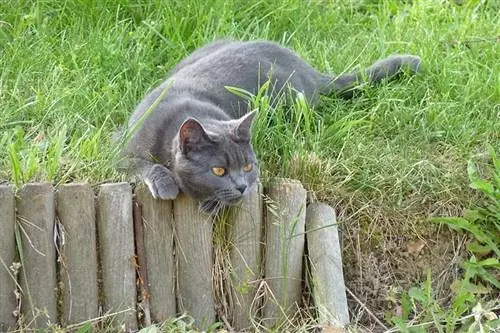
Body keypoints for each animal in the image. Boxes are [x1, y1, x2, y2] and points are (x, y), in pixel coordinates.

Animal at [123, 39, 420, 213]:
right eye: (219, 170)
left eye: (248, 167)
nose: (242, 187)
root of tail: (308, 69)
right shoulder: (120, 149)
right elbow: (140, 164)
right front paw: (166, 184)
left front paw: (212, 205)